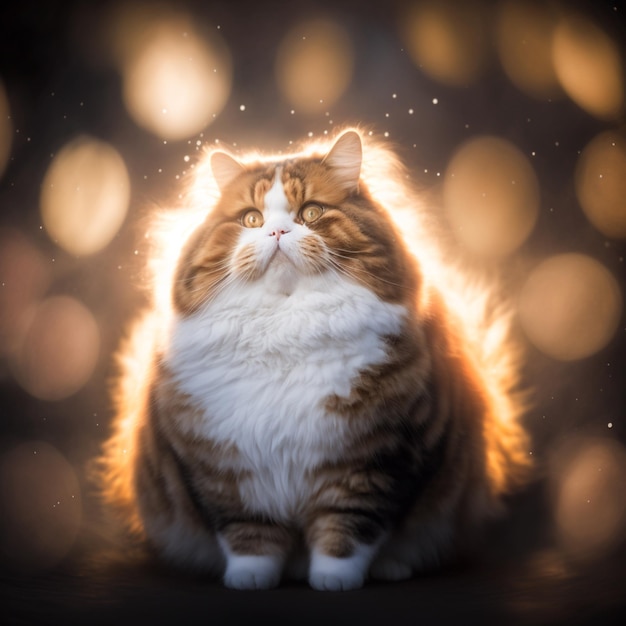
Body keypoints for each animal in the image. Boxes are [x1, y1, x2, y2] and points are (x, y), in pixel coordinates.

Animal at [96, 128, 528, 588]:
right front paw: (248, 579)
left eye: (311, 212)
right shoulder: (224, 470)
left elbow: (347, 534)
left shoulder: (375, 461)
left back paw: (393, 568)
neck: (287, 331)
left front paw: (334, 581)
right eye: (252, 220)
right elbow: (250, 538)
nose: (277, 232)